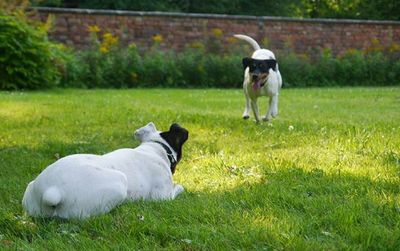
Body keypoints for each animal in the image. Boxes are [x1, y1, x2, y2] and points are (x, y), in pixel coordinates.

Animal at [21, 122, 189, 219]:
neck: (155, 148)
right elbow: (178, 188)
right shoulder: (162, 197)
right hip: (119, 183)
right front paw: (180, 186)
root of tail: (51, 191)